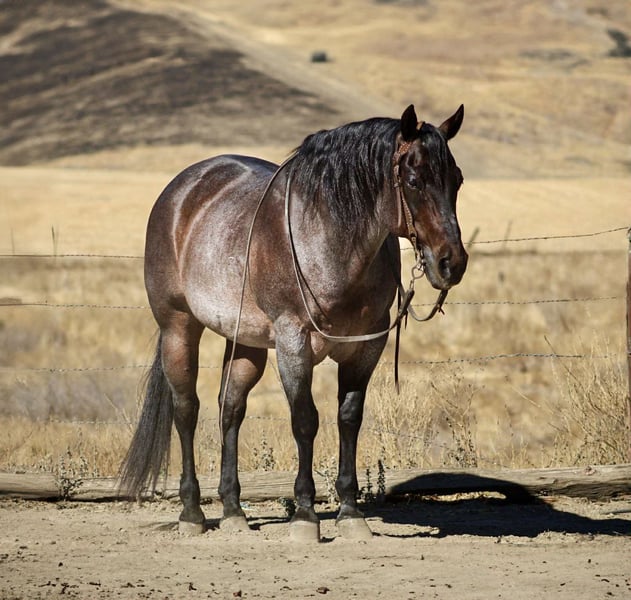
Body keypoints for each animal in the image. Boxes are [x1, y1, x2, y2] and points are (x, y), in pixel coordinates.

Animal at [119, 103, 468, 541]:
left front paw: (350, 512)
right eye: (414, 179)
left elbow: (349, 418)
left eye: (457, 180)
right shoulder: (293, 344)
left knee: (230, 408)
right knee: (187, 410)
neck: (327, 240)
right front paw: (305, 515)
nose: (451, 263)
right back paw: (192, 513)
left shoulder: (365, 348)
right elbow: (305, 421)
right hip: (179, 328)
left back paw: (233, 510)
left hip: (246, 343)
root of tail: (182, 189)